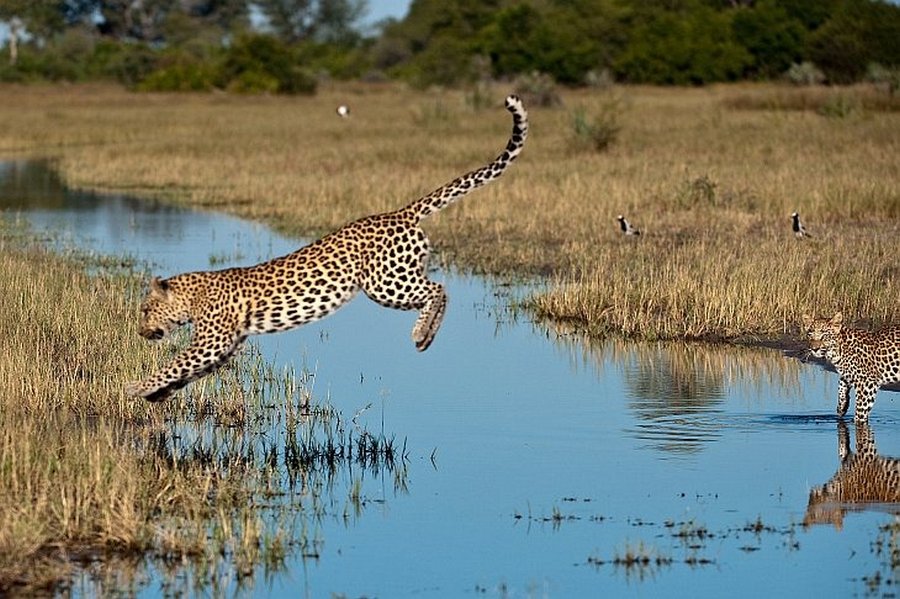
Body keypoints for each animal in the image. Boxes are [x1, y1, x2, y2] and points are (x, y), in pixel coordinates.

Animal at [121, 95, 528, 404]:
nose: (140, 332)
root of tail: (399, 212)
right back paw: (425, 336)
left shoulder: (210, 341)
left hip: (385, 282)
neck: (192, 296)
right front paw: (155, 394)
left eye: (146, 310)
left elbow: (174, 364)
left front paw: (136, 387)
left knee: (438, 289)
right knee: (438, 288)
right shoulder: (225, 346)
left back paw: (421, 335)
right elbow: (185, 373)